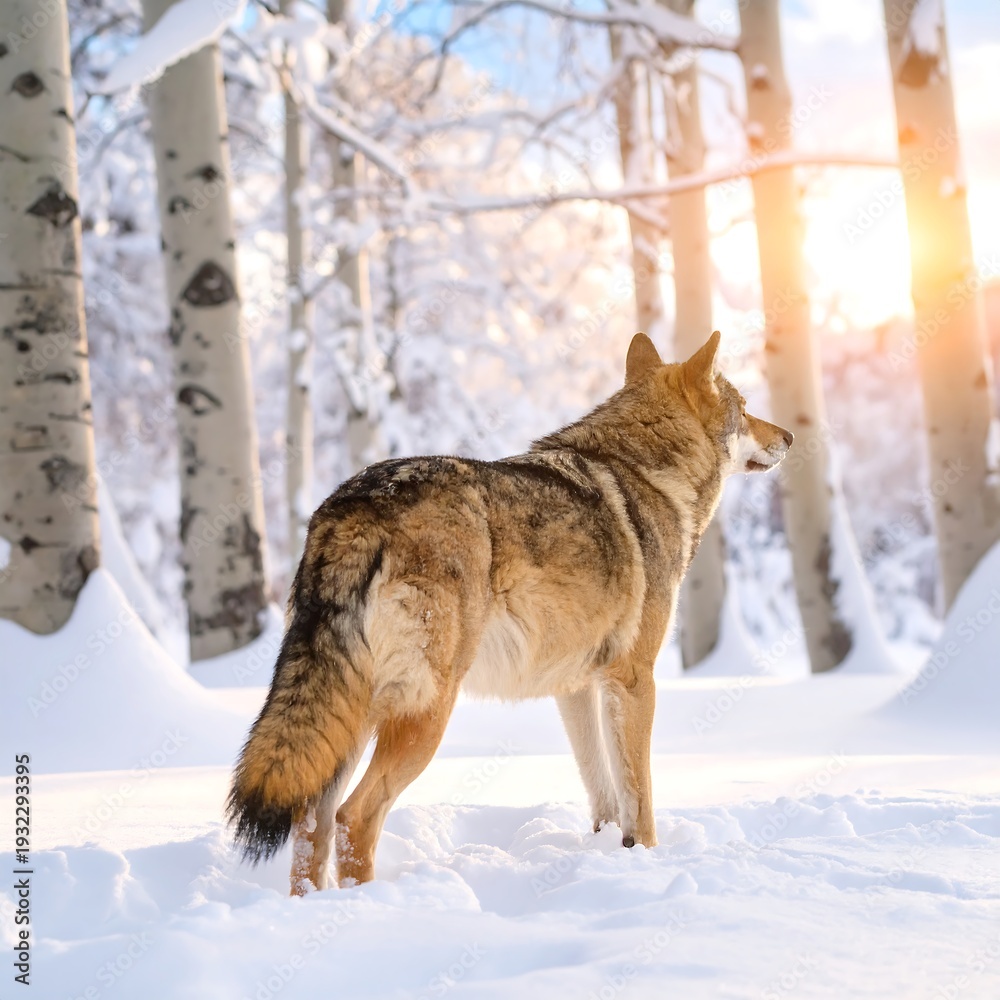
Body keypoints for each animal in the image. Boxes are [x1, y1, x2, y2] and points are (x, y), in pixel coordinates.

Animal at [227, 331, 792, 892]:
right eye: (745, 407)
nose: (788, 436)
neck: (646, 473)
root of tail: (355, 505)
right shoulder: (634, 678)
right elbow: (641, 796)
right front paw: (648, 859)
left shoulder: (578, 687)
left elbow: (605, 793)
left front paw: (611, 851)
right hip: (426, 710)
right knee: (354, 817)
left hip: (353, 712)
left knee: (310, 823)